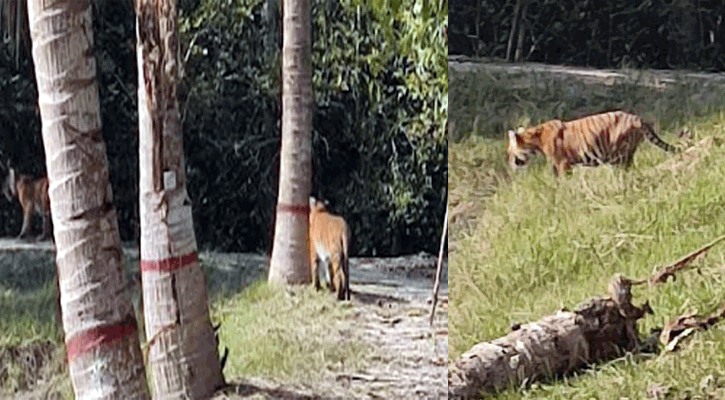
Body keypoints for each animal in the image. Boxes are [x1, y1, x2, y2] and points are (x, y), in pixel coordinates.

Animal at [504, 110, 680, 177]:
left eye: (509, 153)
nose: (509, 165)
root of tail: (638, 118)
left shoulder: (563, 163)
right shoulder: (556, 164)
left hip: (619, 156)